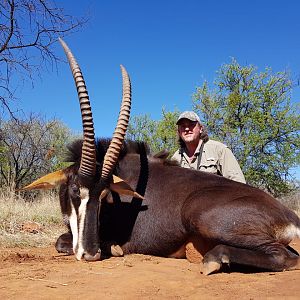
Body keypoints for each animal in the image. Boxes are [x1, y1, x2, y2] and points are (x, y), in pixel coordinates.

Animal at [21, 39, 300, 274]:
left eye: (103, 194)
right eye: (74, 190)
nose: (90, 253)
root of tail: (291, 217)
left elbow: (61, 241)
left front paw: (113, 247)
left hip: (203, 216)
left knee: (284, 256)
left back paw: (215, 258)